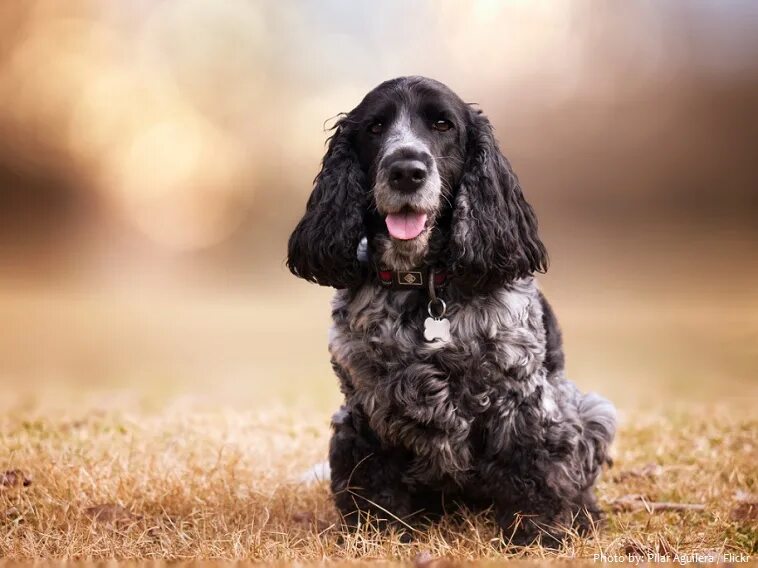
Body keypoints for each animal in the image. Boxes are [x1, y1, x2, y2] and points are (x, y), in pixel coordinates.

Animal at [286, 76, 616, 544]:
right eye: (374, 127)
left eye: (443, 124)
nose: (406, 170)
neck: (425, 285)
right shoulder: (364, 410)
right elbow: (374, 485)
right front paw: (379, 536)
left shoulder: (522, 401)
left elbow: (535, 473)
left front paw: (536, 537)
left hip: (593, 410)